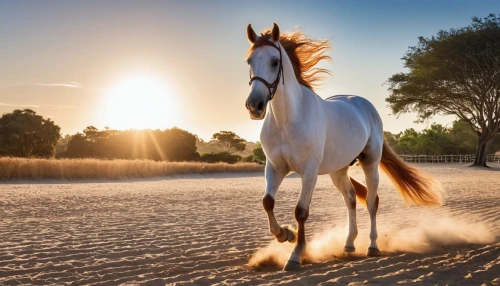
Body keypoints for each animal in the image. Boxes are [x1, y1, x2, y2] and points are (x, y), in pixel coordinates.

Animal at [244, 23, 444, 272]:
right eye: (250, 61)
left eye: (274, 61)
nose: (255, 106)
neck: (287, 120)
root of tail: (364, 104)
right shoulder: (274, 168)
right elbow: (268, 202)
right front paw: (285, 235)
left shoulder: (309, 172)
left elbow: (301, 211)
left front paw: (295, 255)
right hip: (338, 171)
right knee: (350, 199)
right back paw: (349, 244)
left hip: (370, 163)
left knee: (372, 201)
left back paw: (372, 246)